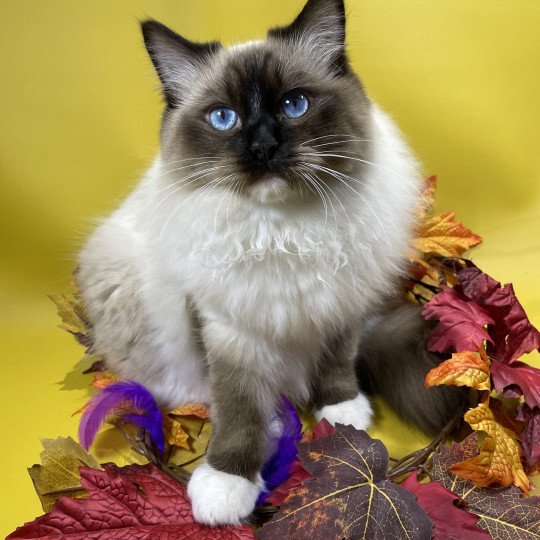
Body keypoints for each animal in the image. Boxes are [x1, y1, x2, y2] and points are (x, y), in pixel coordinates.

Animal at [76, 0, 464, 524]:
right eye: (224, 118)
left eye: (293, 105)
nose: (262, 147)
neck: (283, 230)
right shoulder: (229, 329)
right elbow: (238, 407)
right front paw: (227, 485)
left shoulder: (340, 305)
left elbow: (337, 364)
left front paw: (342, 413)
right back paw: (274, 429)